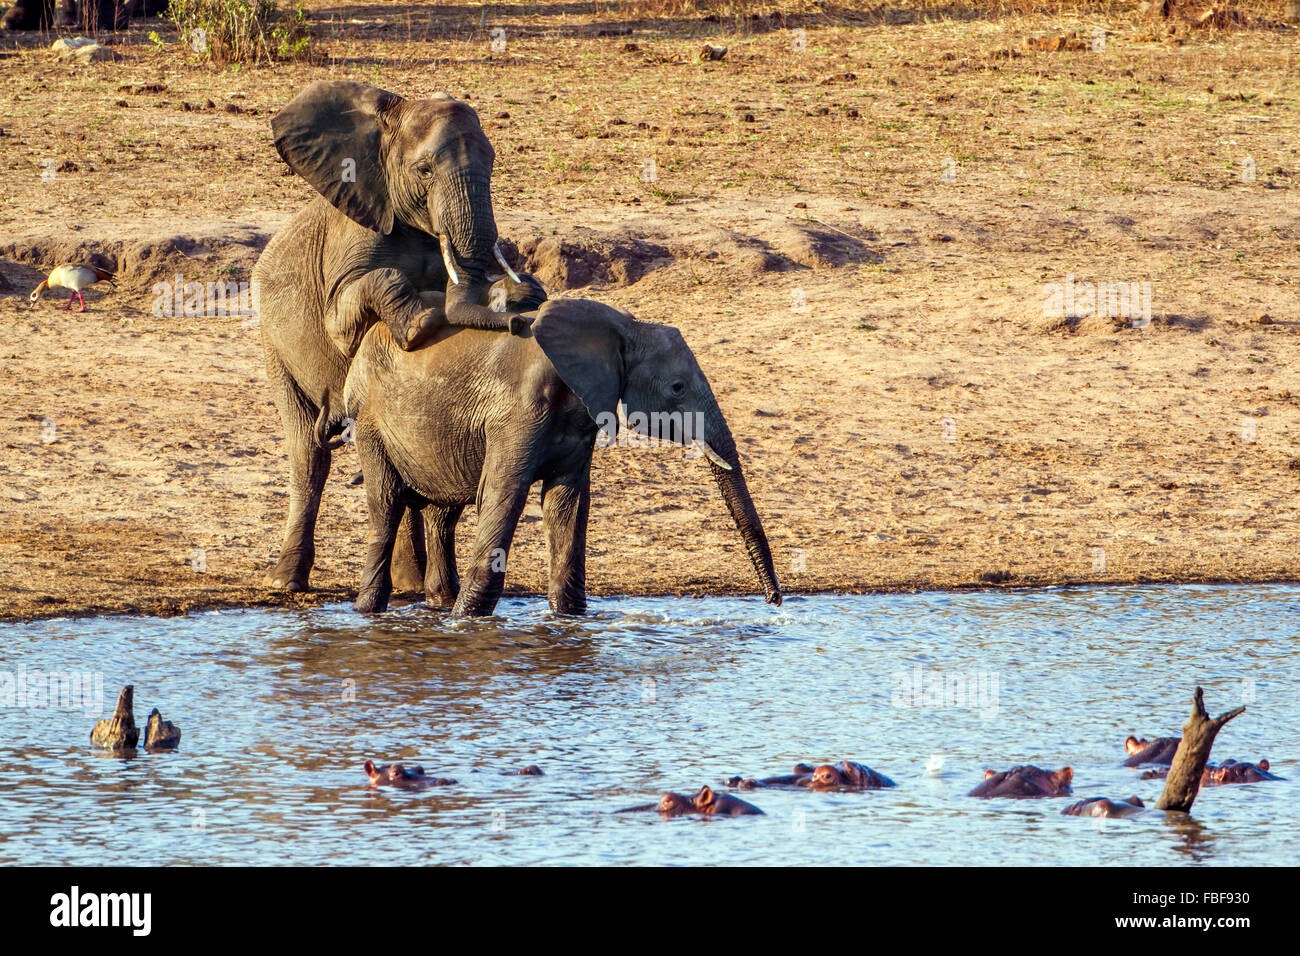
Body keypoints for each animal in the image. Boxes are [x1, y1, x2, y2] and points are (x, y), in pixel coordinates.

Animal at [253, 80, 543, 590]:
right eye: (424, 170)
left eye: (492, 165)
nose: (521, 317)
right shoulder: (353, 232)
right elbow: (342, 318)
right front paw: (420, 325)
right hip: (274, 342)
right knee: (308, 454)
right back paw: (286, 581)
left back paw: (412, 586)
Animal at [340, 295, 780, 616]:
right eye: (677, 388)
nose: (775, 602)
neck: (621, 328)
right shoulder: (516, 411)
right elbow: (503, 496)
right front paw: (468, 621)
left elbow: (566, 503)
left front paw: (568, 617)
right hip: (369, 420)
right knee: (386, 505)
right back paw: (369, 611)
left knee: (442, 513)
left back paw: (438, 606)